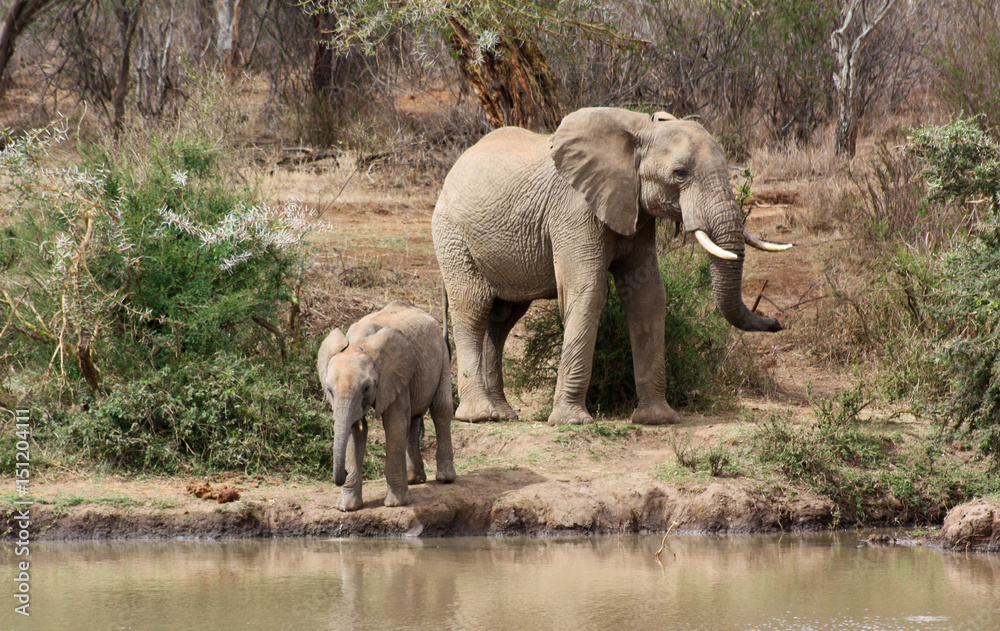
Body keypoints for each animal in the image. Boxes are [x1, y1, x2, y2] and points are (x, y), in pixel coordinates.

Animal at [317, 301, 456, 511]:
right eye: (329, 390)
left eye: (366, 388)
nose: (343, 475)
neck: (357, 343)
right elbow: (356, 430)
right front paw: (347, 507)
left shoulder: (393, 373)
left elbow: (394, 423)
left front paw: (396, 504)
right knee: (413, 419)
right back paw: (415, 480)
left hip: (442, 354)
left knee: (441, 409)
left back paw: (445, 479)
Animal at [432, 107, 791, 426]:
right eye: (680, 174)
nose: (777, 323)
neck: (641, 129)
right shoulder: (574, 208)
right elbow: (588, 291)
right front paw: (572, 422)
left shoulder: (637, 211)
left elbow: (648, 296)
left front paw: (658, 420)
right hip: (452, 236)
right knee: (473, 309)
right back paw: (480, 415)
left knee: (502, 319)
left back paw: (503, 414)